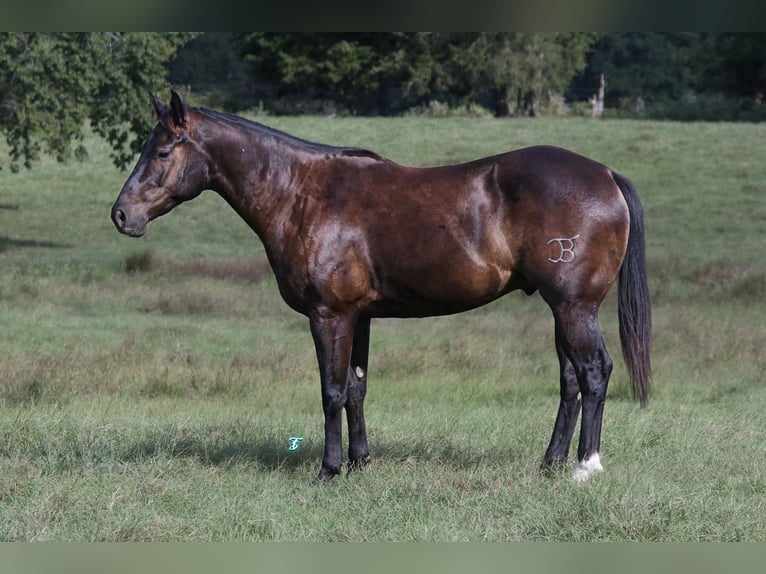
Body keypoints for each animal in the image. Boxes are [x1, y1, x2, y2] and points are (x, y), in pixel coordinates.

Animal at [111, 92, 652, 484]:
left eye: (162, 151)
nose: (121, 215)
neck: (302, 194)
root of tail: (606, 175)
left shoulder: (330, 315)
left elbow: (331, 391)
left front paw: (329, 471)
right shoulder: (360, 315)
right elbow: (357, 388)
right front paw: (359, 462)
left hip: (575, 307)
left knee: (594, 373)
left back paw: (585, 467)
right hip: (562, 309)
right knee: (570, 381)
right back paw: (551, 463)